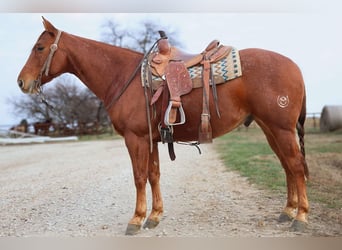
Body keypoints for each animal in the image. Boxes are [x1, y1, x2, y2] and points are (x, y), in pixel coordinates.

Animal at [17, 17, 308, 234]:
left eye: (40, 48)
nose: (22, 82)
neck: (123, 76)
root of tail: (294, 66)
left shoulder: (135, 138)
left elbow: (138, 177)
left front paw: (136, 219)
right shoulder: (152, 139)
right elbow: (154, 175)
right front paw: (155, 216)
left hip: (280, 129)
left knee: (295, 166)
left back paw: (301, 218)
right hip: (270, 129)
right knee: (287, 166)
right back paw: (287, 211)